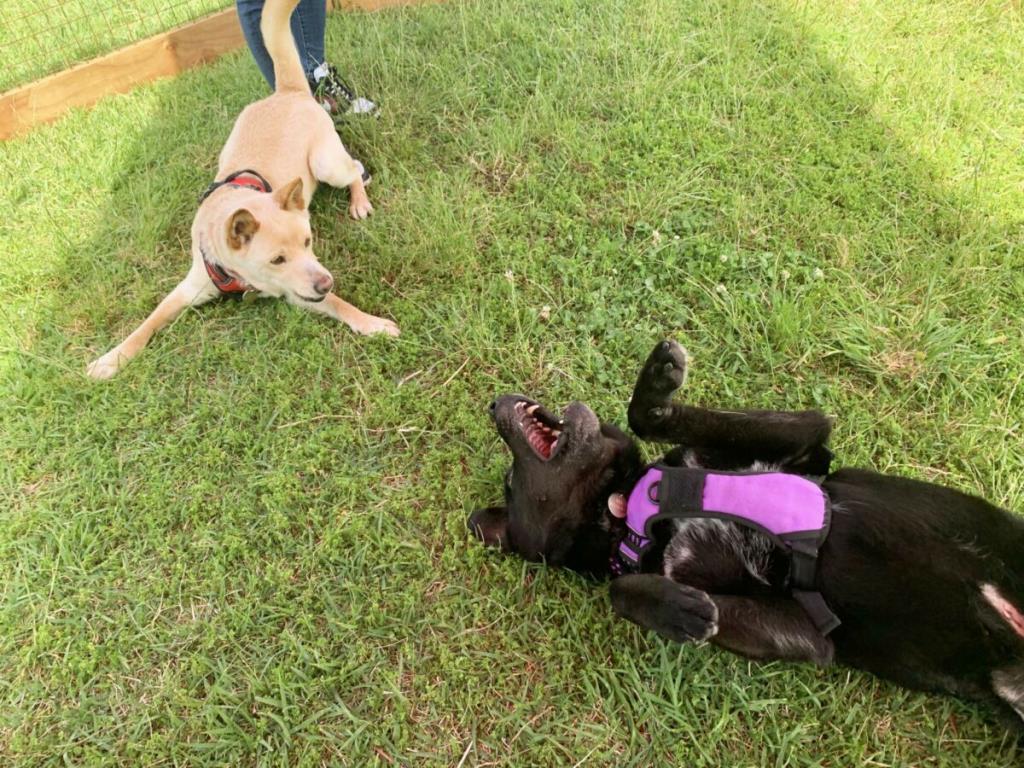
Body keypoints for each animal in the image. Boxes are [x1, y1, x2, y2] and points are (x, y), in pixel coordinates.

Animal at [87, 0, 398, 380]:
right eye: (277, 259)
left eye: (308, 241)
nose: (326, 281)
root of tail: (288, 91)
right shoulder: (190, 288)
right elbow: (149, 320)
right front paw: (111, 358)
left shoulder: (300, 291)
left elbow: (342, 306)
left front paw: (374, 324)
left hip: (327, 163)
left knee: (354, 169)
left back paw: (359, 201)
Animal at [469, 340, 1024, 729]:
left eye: (509, 481)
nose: (493, 402)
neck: (635, 507)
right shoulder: (805, 631)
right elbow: (621, 589)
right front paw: (679, 610)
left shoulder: (806, 445)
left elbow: (665, 419)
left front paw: (656, 386)